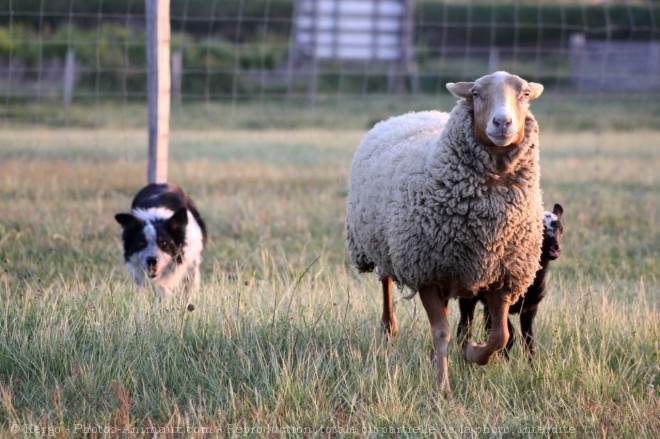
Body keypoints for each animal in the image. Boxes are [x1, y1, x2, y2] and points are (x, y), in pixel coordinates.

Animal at [346, 72, 548, 396]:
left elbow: (500, 335)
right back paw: (389, 329)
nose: (502, 122)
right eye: (476, 93)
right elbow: (441, 332)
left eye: (525, 94)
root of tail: (409, 114)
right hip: (384, 245)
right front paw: (442, 387)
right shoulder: (426, 271)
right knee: (386, 284)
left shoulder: (503, 276)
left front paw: (472, 352)